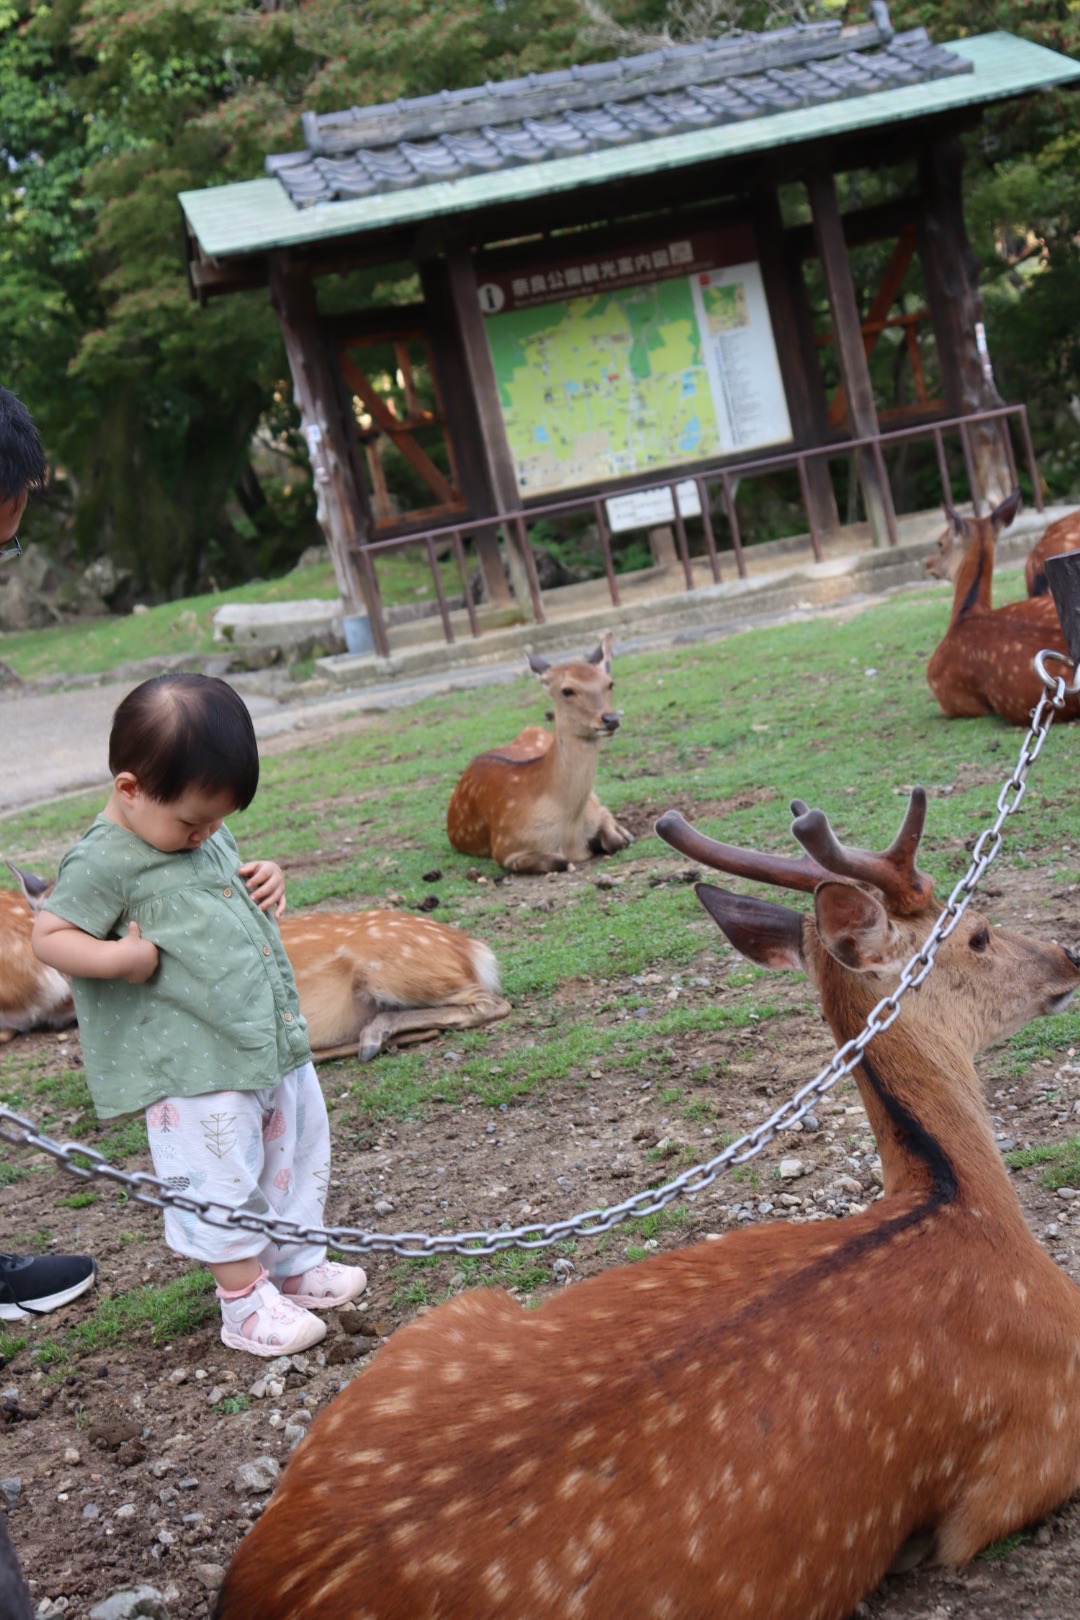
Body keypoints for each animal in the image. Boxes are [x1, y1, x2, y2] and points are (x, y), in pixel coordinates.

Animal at [215, 787, 1080, 1620]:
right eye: (978, 932)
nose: (1068, 954)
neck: (963, 1203)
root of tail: (267, 1585)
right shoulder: (1031, 1454)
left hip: (448, 1318)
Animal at [446, 625, 634, 874]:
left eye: (610, 683)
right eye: (567, 690)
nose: (611, 719)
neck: (569, 828)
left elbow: (614, 840)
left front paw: (621, 835)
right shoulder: (505, 847)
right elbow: (561, 861)